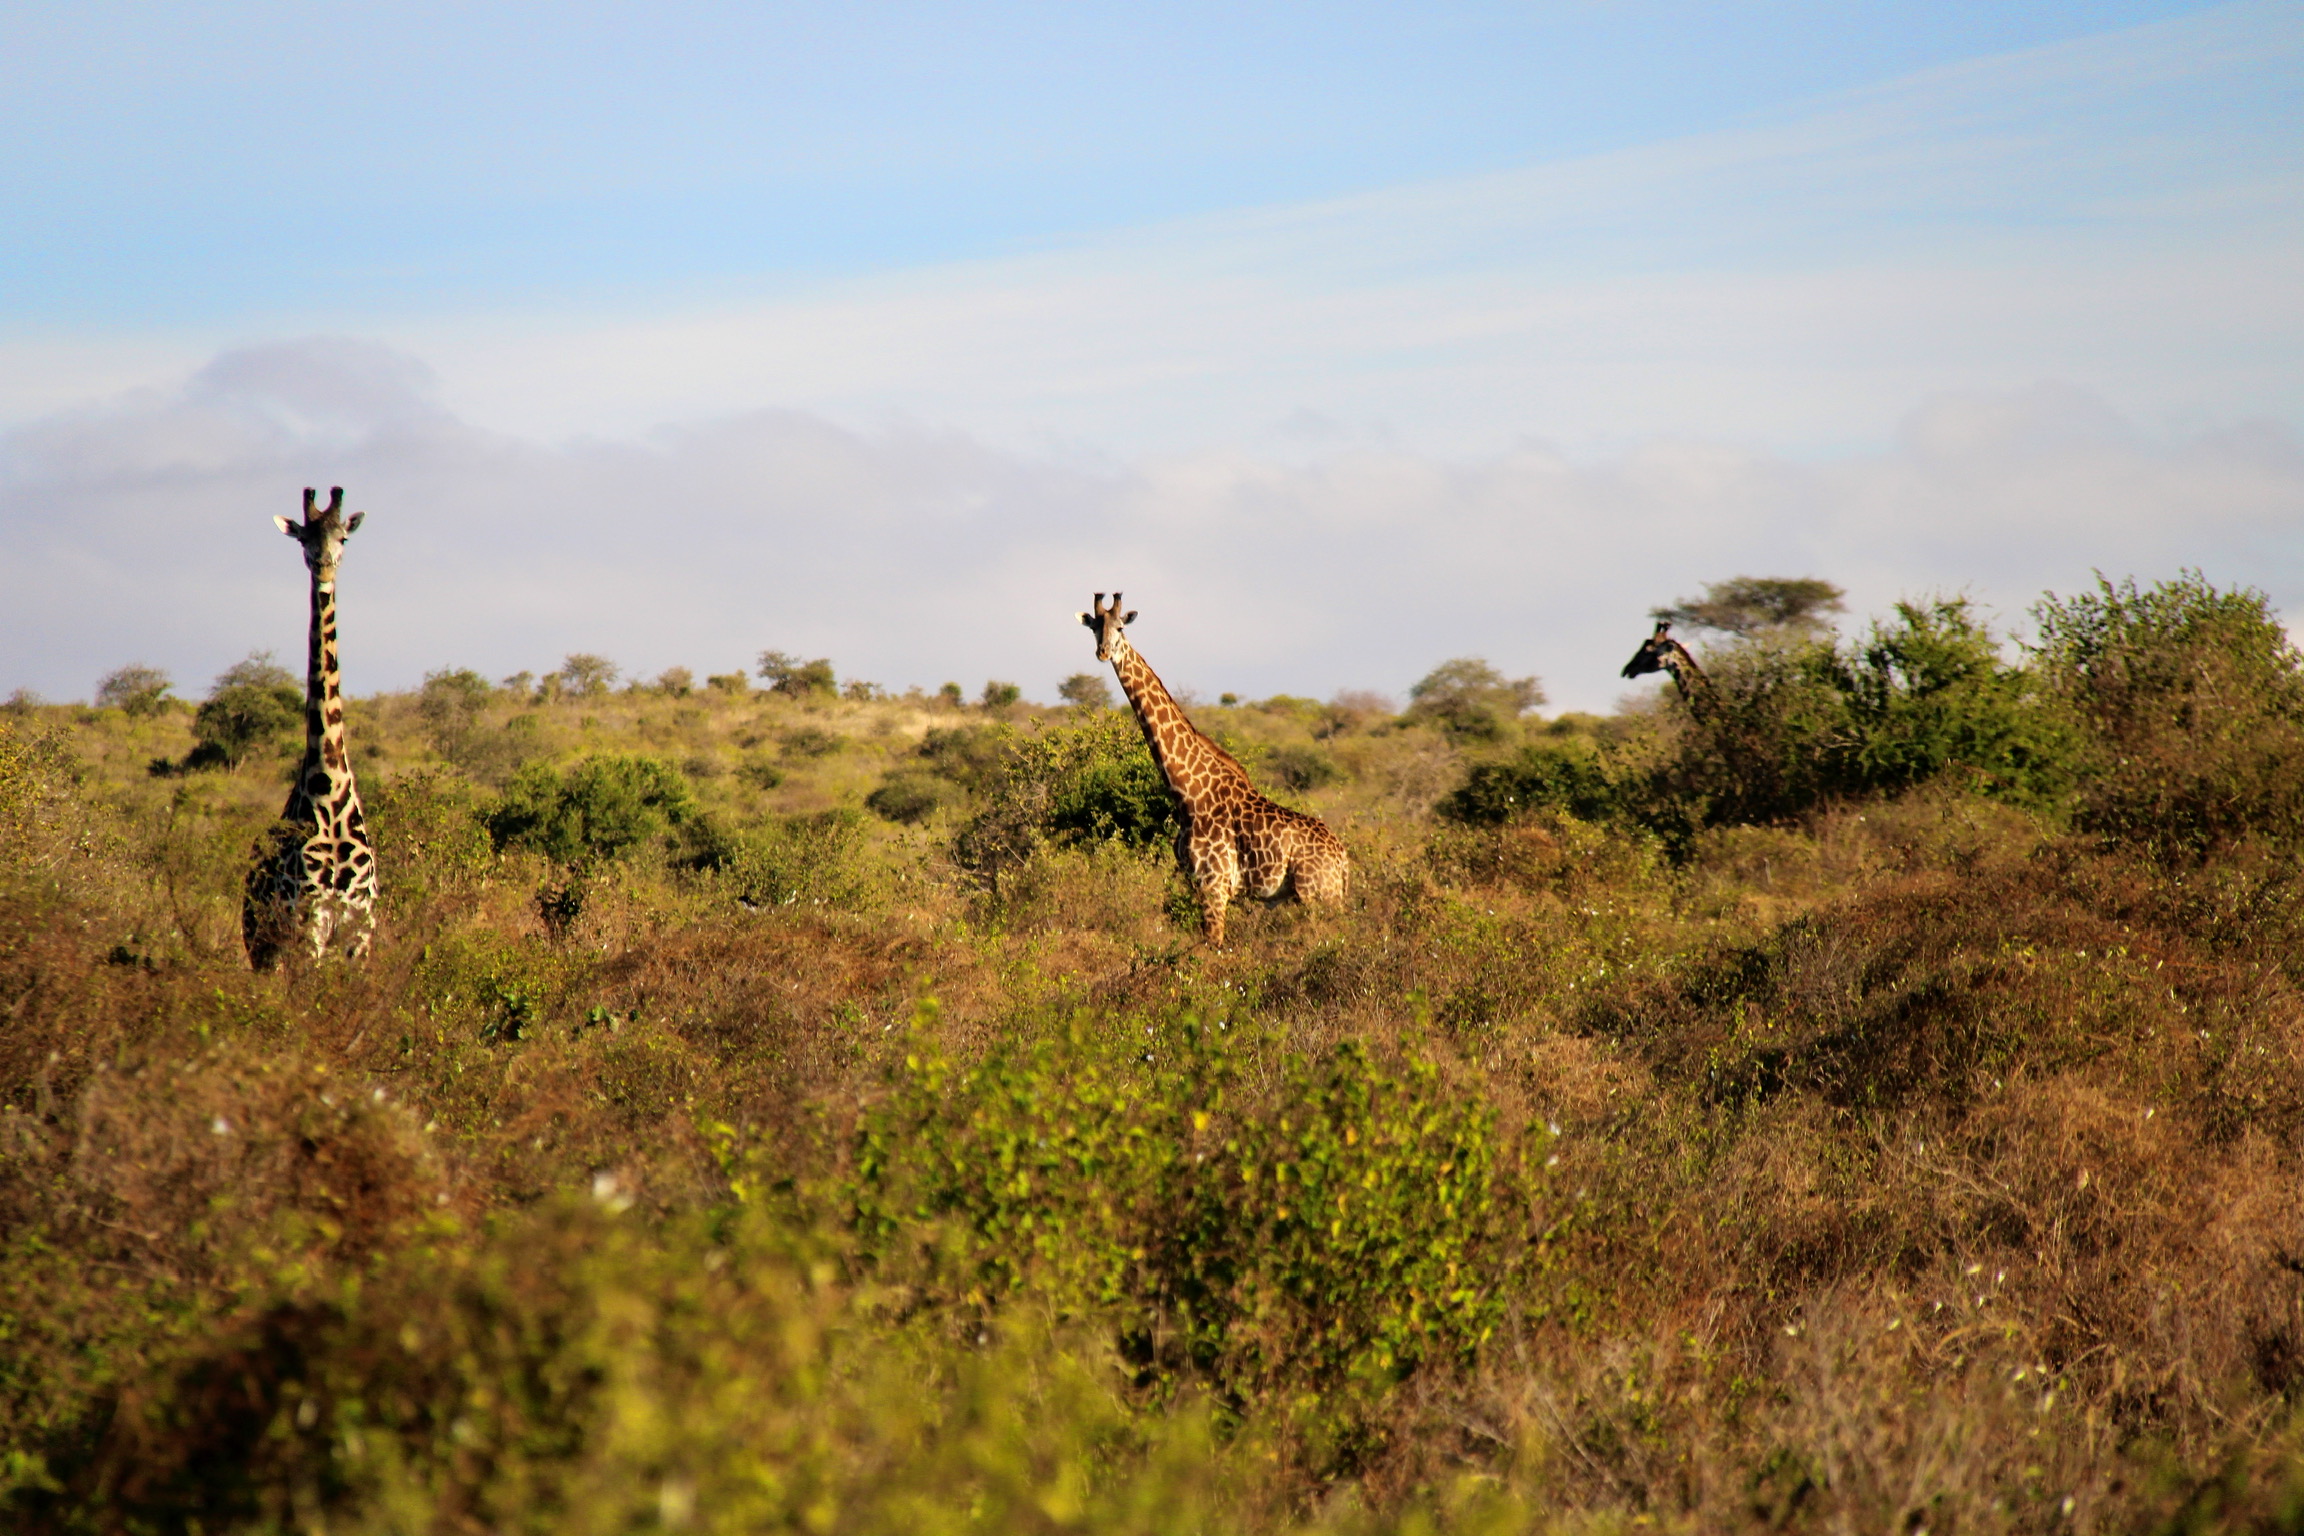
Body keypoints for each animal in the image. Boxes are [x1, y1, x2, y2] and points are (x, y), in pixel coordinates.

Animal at [243, 487, 377, 970]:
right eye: (305, 539)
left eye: (343, 538)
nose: (324, 567)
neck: (329, 786)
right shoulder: (309, 920)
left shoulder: (360, 927)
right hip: (263, 942)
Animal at [1080, 593, 1348, 946]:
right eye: (1094, 627)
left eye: (1121, 627)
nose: (1103, 652)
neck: (1187, 793)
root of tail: (1343, 858)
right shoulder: (1194, 881)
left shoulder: (1214, 883)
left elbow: (1214, 948)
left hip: (1317, 895)